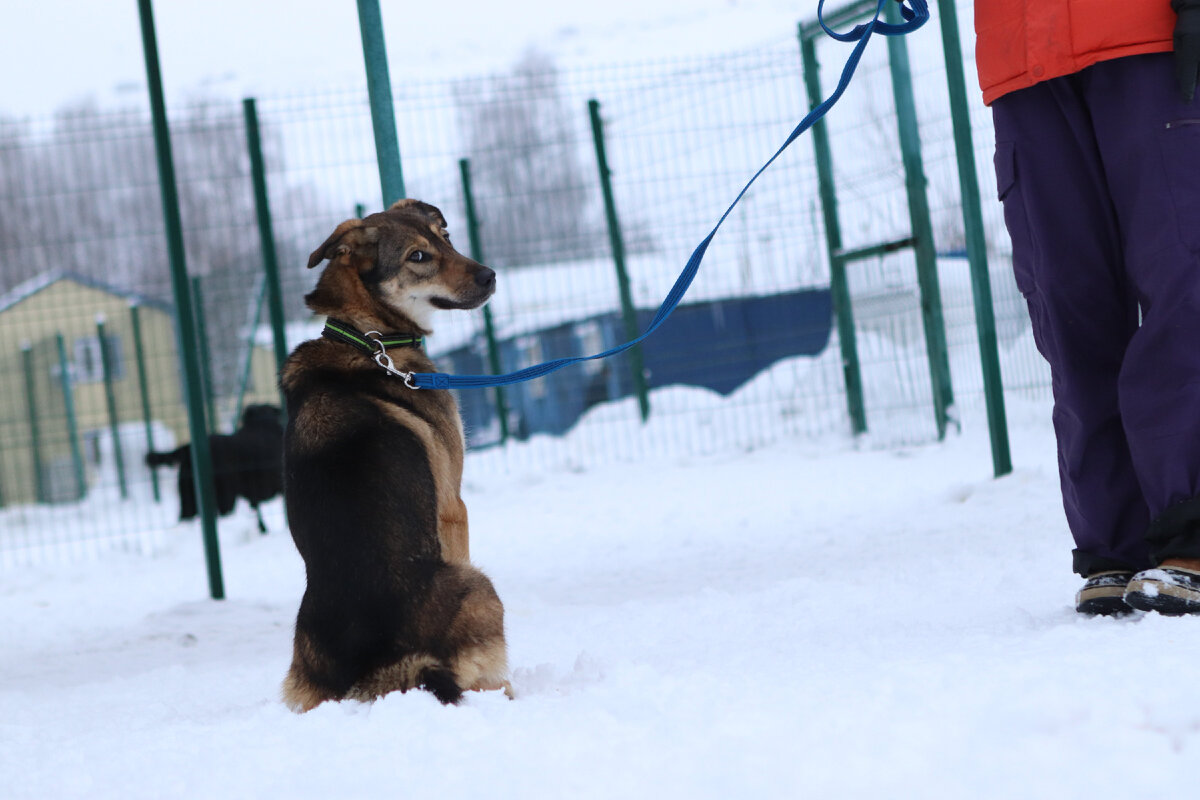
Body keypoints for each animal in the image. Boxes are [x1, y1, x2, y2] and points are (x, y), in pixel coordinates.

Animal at [279, 196, 511, 710]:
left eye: (446, 236)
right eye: (417, 257)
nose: (489, 276)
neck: (369, 339)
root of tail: (374, 667)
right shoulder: (453, 508)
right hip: (481, 587)